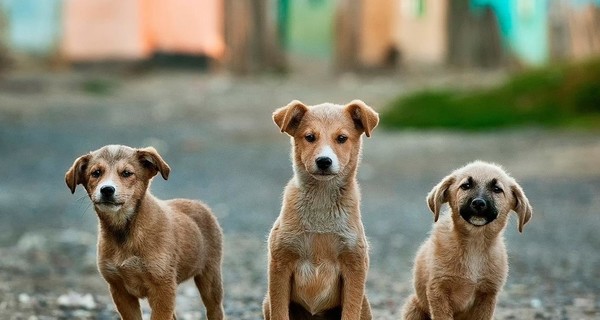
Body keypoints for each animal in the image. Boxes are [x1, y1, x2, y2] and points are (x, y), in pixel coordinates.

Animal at [65, 146, 225, 320]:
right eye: (96, 173)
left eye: (127, 173)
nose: (107, 190)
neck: (126, 231)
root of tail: (199, 204)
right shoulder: (119, 289)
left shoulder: (162, 286)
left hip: (210, 278)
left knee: (215, 310)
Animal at [264, 100, 378, 320]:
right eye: (310, 137)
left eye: (342, 138)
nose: (324, 161)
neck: (321, 202)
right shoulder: (280, 262)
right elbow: (279, 311)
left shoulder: (355, 264)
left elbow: (350, 312)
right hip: (266, 301)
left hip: (365, 305)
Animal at [400, 161, 532, 318]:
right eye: (466, 186)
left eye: (497, 189)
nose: (479, 203)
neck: (474, 244)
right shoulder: (438, 290)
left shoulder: (488, 294)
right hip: (413, 307)